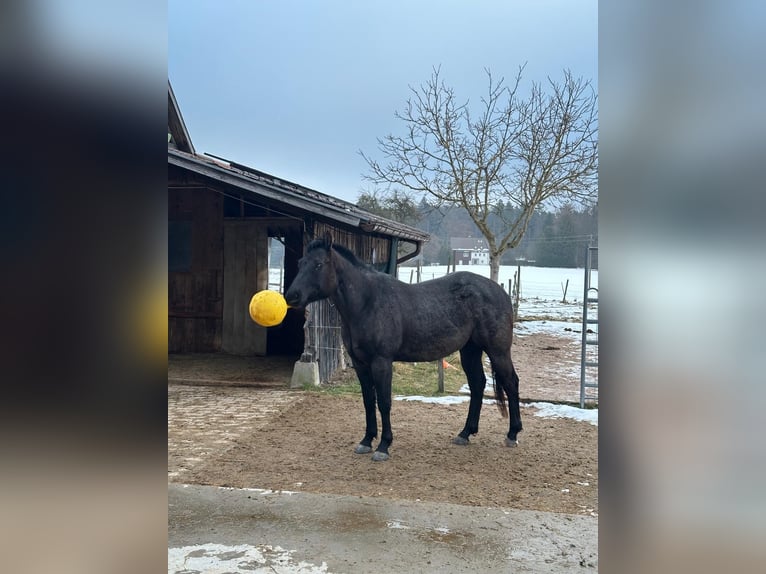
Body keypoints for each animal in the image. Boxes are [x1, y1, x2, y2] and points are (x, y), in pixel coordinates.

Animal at [285, 235, 522, 461]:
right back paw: (465, 433)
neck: (367, 302)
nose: (291, 296)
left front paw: (383, 446)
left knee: (511, 382)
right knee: (477, 384)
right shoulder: (360, 364)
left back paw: (512, 434)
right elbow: (368, 401)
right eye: (300, 262)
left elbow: (384, 402)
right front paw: (366, 440)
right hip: (470, 350)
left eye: (318, 264)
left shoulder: (381, 362)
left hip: (498, 351)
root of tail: (499, 291)